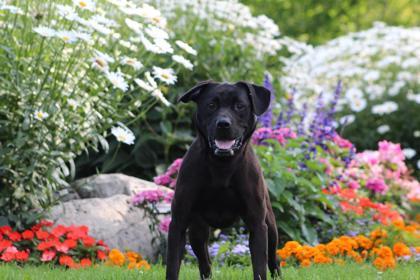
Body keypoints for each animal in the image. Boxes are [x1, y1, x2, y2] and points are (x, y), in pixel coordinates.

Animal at [166, 80, 280, 278]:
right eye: (211, 105)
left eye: (240, 106)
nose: (223, 124)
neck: (222, 165)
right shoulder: (178, 223)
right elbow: (173, 267)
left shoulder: (258, 224)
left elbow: (259, 267)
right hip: (197, 232)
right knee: (205, 262)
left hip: (270, 226)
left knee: (273, 259)